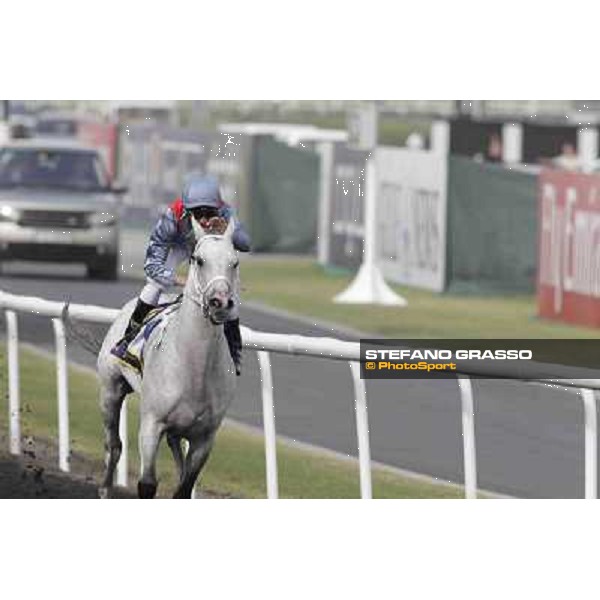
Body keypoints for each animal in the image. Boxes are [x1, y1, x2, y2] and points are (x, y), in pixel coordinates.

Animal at [95, 218, 238, 500]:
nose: (220, 302)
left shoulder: (205, 438)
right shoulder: (152, 424)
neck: (193, 369)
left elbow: (184, 489)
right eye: (199, 260)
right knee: (114, 445)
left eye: (234, 262)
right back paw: (105, 489)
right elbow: (147, 484)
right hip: (110, 391)